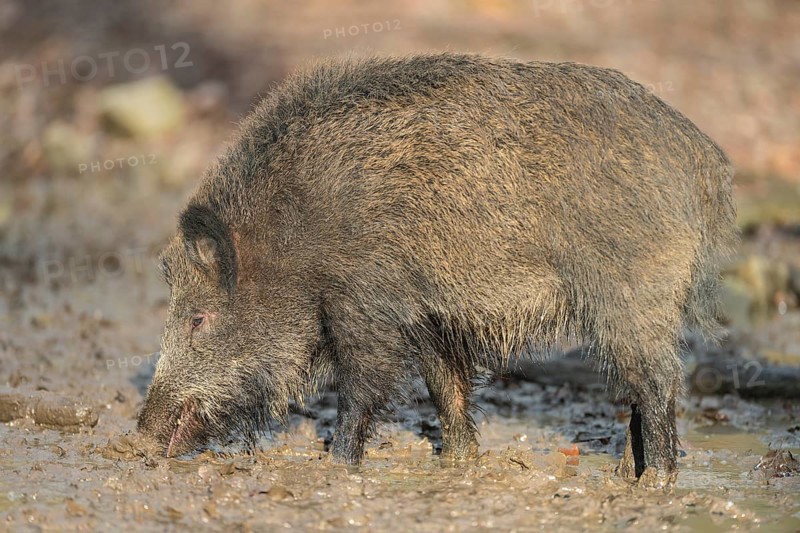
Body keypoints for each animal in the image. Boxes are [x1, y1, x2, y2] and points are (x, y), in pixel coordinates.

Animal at [137, 53, 737, 486]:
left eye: (198, 319)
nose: (140, 438)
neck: (291, 239)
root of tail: (704, 161)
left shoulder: (366, 304)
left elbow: (363, 387)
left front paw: (338, 467)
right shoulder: (428, 316)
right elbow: (445, 384)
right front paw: (457, 463)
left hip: (632, 295)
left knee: (658, 382)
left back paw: (654, 482)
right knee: (645, 385)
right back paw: (626, 474)